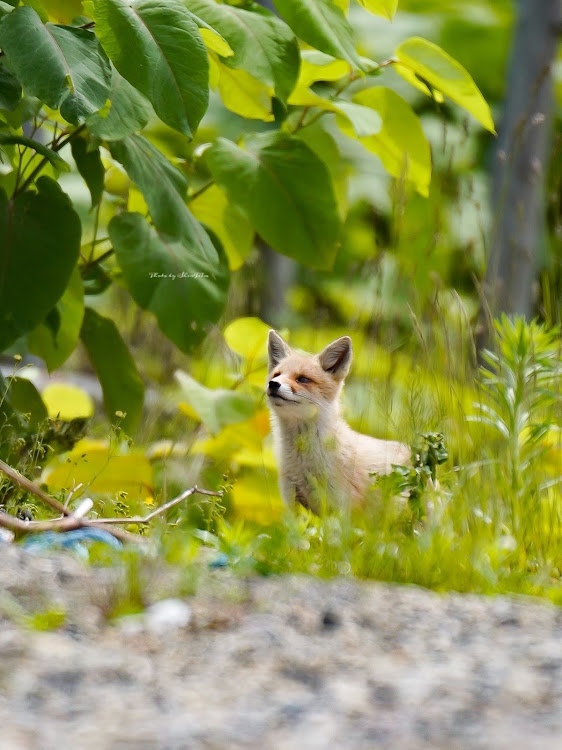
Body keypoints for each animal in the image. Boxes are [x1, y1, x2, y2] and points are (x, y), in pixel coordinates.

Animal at [264, 332, 410, 516]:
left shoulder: (342, 508)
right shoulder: (294, 503)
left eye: (302, 379)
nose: (273, 384)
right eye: (276, 375)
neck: (303, 462)